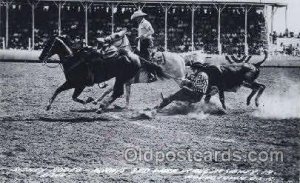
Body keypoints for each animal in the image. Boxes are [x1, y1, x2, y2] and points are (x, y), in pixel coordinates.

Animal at [38, 35, 168, 113]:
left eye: (48, 45)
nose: (40, 57)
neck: (73, 59)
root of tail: (136, 57)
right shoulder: (71, 82)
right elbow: (59, 90)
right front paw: (48, 106)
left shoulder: (78, 84)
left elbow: (73, 96)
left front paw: (89, 100)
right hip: (121, 78)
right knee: (117, 92)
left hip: (121, 78)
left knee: (117, 92)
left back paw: (101, 107)